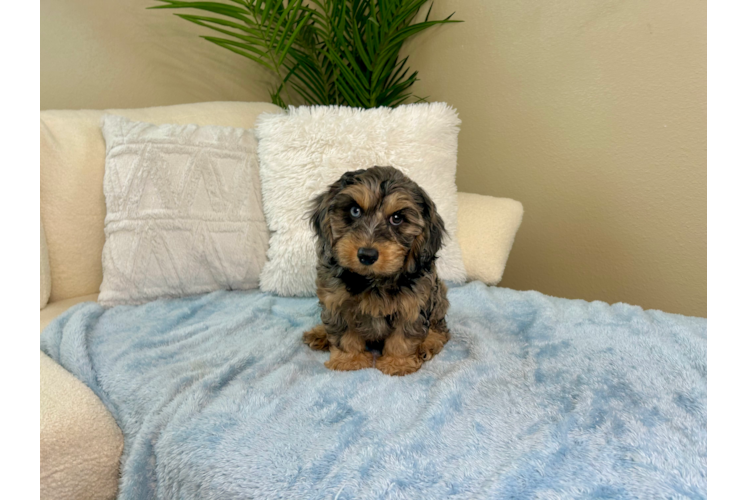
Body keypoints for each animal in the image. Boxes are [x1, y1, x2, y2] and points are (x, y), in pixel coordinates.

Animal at [302, 165, 450, 376]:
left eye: (397, 218)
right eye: (355, 211)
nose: (367, 255)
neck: (372, 280)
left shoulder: (413, 304)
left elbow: (403, 338)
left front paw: (397, 364)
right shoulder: (336, 301)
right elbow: (344, 334)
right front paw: (349, 361)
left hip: (439, 297)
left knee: (440, 329)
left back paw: (428, 343)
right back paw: (319, 334)